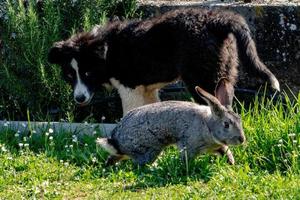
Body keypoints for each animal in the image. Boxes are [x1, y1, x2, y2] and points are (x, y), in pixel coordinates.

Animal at [48, 8, 280, 115]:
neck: (106, 50)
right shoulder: (147, 90)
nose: (79, 99)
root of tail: (216, 19)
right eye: (69, 75)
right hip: (223, 73)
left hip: (201, 78)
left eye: (88, 73)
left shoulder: (130, 88)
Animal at [97, 79, 245, 166]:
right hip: (149, 149)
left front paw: (231, 162)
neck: (208, 125)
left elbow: (225, 151)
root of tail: (117, 142)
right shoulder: (189, 145)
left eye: (239, 120)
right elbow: (186, 157)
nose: (242, 139)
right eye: (226, 124)